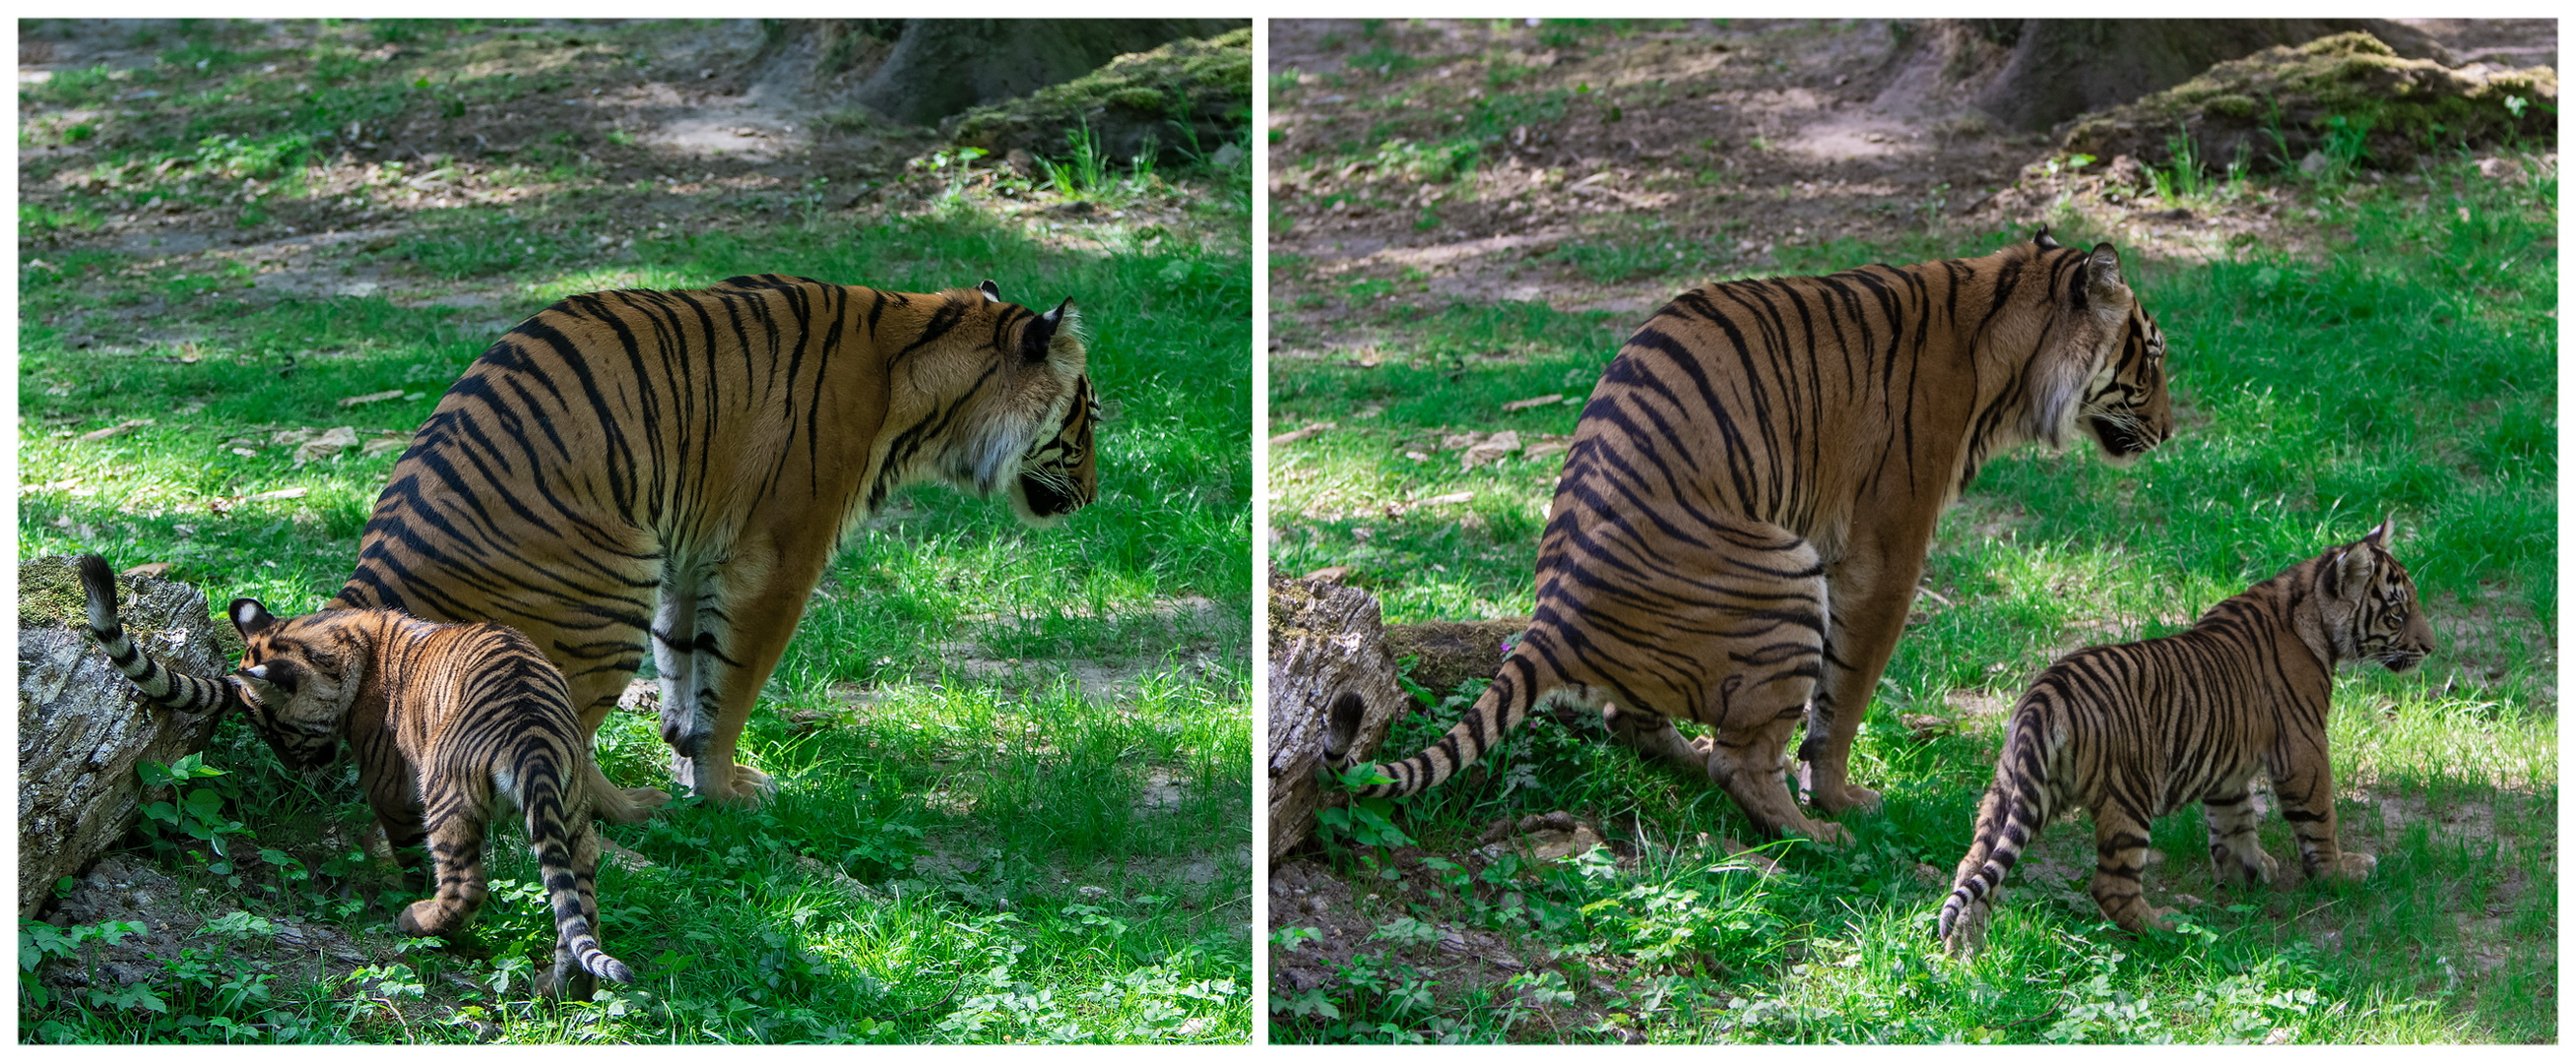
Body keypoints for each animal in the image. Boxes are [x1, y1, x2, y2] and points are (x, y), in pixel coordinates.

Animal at [332, 271, 1097, 813]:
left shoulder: (691, 551)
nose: (1093, 496)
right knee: (551, 746)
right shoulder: (776, 559)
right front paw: (724, 789)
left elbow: (685, 669)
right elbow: (731, 685)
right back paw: (627, 814)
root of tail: (369, 584)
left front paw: (690, 769)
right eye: (1088, 416)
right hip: (607, 596)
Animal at [1370, 230, 2173, 839]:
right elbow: (1844, 697)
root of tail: (1553, 619)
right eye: (2155, 357)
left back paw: (1694, 756)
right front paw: (1843, 798)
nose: (2170, 431)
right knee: (1740, 763)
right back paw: (1815, 833)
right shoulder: (1885, 555)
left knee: (1634, 722)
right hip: (1787, 582)